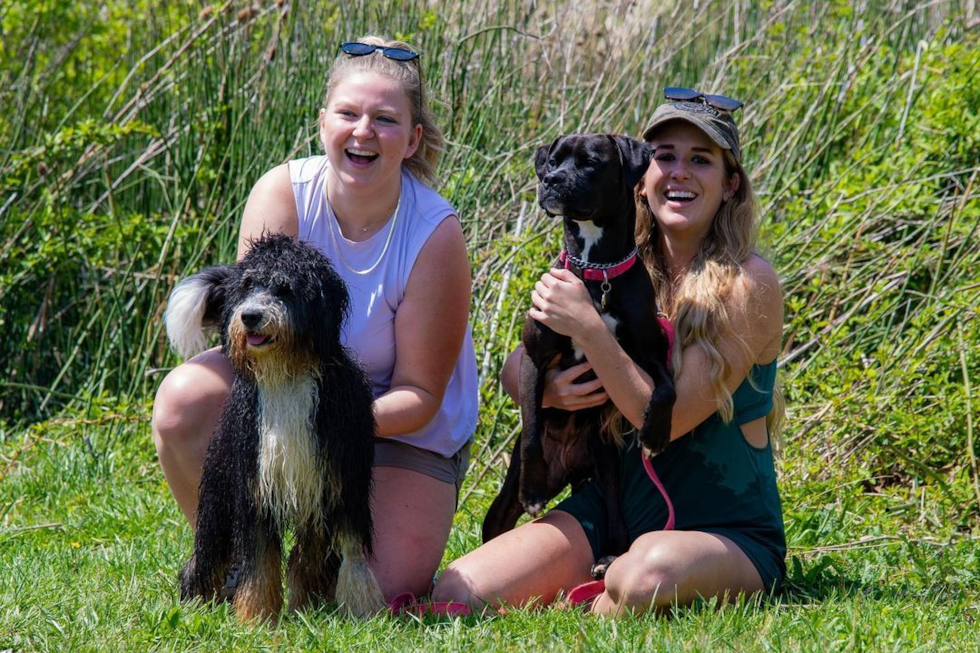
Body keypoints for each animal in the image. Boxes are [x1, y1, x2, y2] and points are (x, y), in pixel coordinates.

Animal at [165, 232, 382, 620]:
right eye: (248, 285)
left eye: (284, 288)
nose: (250, 316)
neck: (286, 374)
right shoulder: (255, 489)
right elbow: (260, 562)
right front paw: (256, 617)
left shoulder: (338, 485)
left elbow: (345, 555)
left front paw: (350, 610)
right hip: (219, 495)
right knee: (207, 555)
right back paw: (195, 602)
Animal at [480, 134, 672, 564]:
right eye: (553, 161)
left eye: (590, 162)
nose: (550, 180)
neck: (597, 272)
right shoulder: (534, 359)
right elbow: (532, 429)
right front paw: (534, 491)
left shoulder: (650, 354)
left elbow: (667, 390)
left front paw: (656, 433)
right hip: (505, 502)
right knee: (495, 527)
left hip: (607, 468)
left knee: (615, 512)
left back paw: (611, 556)